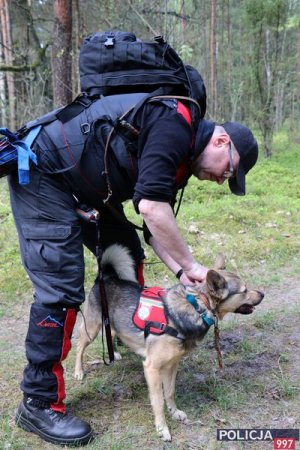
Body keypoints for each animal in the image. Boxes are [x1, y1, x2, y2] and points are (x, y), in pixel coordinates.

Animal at [75, 244, 264, 442]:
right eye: (244, 290)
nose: (262, 294)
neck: (198, 306)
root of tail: (106, 277)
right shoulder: (151, 368)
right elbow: (158, 401)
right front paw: (162, 428)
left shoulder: (171, 365)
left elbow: (170, 392)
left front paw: (174, 412)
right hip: (92, 328)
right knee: (79, 345)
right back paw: (78, 371)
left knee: (111, 332)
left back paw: (116, 352)